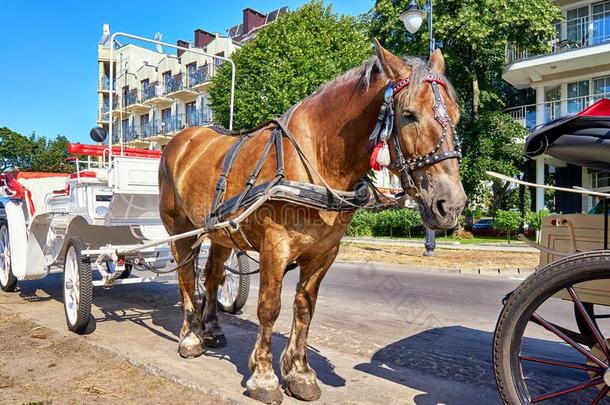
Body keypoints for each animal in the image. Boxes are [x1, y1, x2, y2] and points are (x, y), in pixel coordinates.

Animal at [158, 39, 466, 402]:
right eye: (409, 115)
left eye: (456, 116)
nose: (452, 204)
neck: (316, 155)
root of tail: (181, 140)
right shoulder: (274, 247)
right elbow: (269, 307)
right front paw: (264, 377)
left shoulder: (324, 253)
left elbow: (305, 308)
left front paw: (299, 372)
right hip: (180, 228)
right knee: (186, 278)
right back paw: (190, 336)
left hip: (221, 232)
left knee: (212, 275)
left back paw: (212, 329)